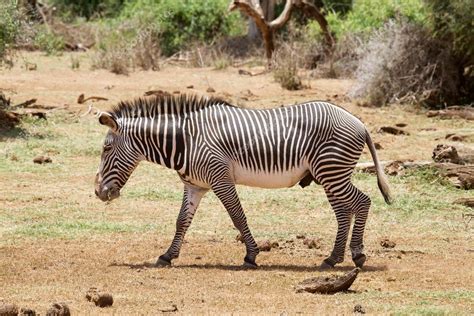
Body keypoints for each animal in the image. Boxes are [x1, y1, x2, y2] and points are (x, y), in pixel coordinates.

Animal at [94, 94, 390, 270]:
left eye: (106, 148)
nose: (98, 192)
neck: (185, 141)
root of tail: (358, 121)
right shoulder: (195, 185)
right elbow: (182, 221)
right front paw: (167, 255)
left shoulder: (220, 178)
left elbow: (238, 216)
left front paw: (251, 255)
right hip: (330, 174)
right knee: (344, 212)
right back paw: (333, 258)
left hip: (331, 171)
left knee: (362, 202)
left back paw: (357, 255)